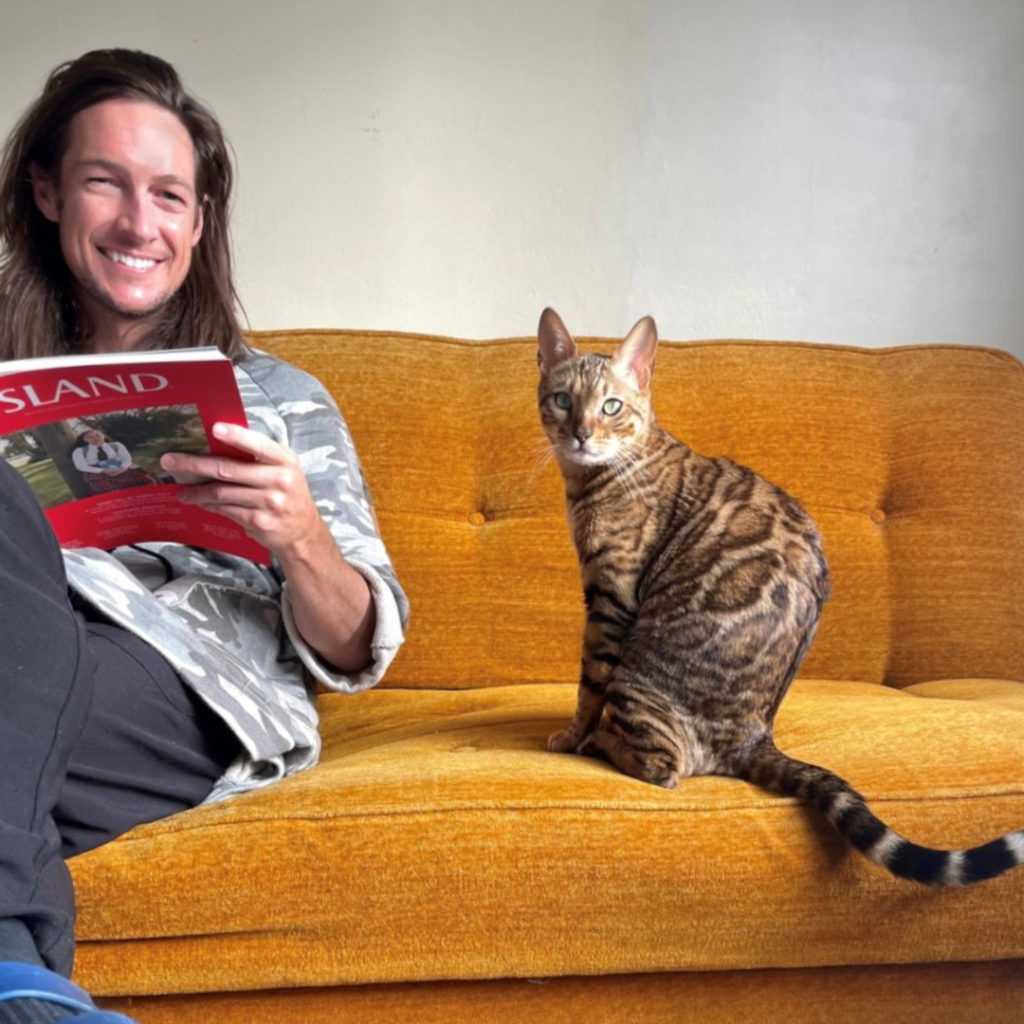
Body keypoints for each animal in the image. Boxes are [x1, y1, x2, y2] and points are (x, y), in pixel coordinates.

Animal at [537, 306, 1024, 886]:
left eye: (611, 406)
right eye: (562, 399)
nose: (581, 434)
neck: (595, 479)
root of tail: (756, 736)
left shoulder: (611, 594)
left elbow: (589, 684)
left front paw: (573, 736)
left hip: (636, 680)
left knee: (665, 768)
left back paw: (603, 743)